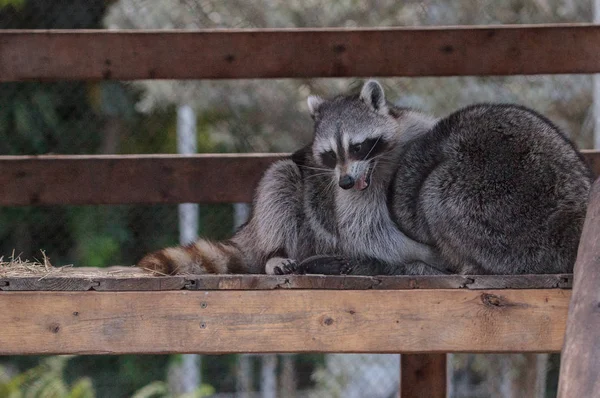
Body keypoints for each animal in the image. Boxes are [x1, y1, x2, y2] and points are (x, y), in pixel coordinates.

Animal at [136, 79, 592, 276]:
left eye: (357, 147)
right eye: (329, 154)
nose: (343, 182)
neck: (378, 166)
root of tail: (250, 233)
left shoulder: (415, 129)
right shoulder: (345, 191)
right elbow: (364, 230)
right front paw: (425, 254)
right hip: (286, 220)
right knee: (281, 180)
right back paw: (275, 253)